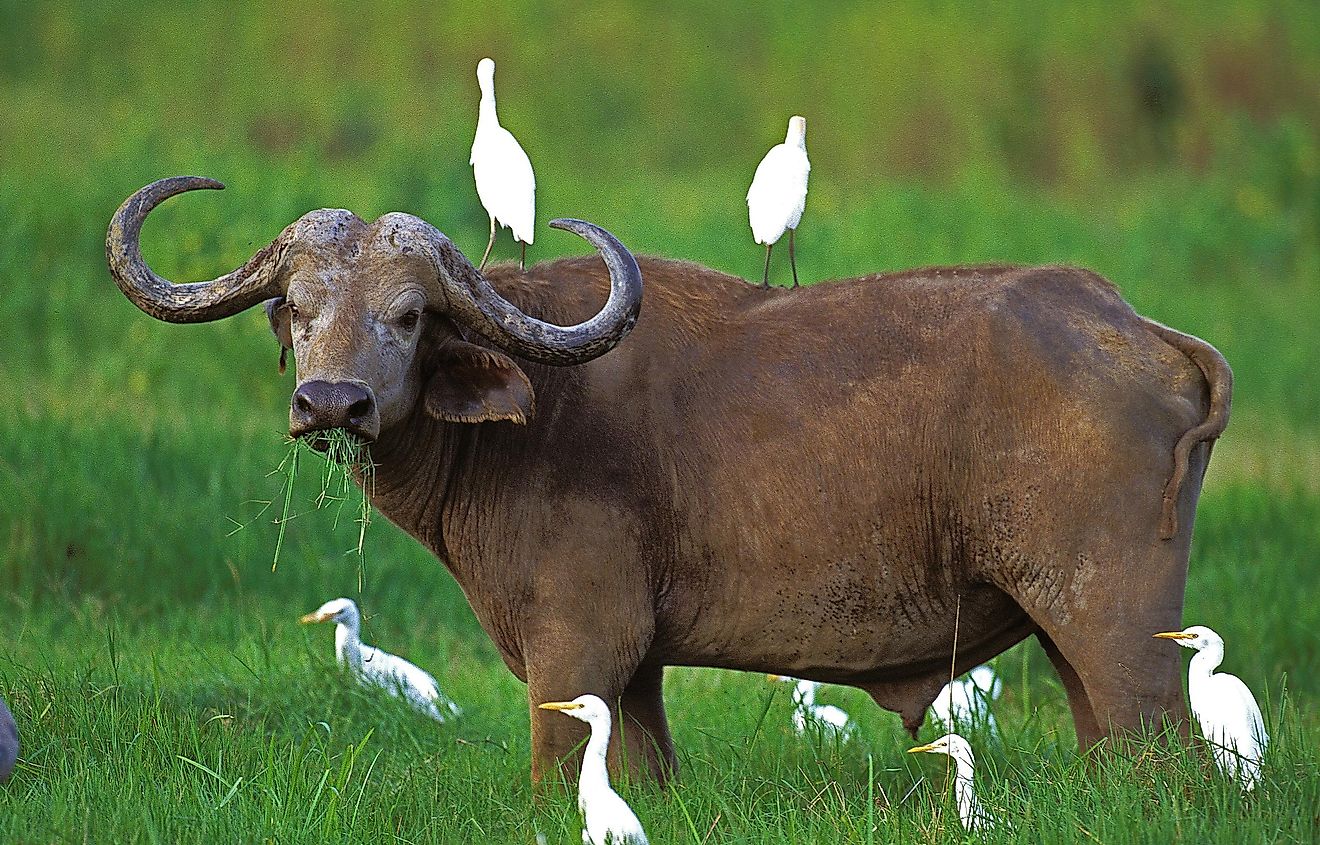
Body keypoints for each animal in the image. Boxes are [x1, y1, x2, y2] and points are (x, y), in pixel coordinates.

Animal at [108, 176, 1230, 786]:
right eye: (297, 308)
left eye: (411, 314)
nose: (333, 402)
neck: (532, 414)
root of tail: (1132, 323)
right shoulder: (636, 670)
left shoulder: (575, 651)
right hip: (1068, 644)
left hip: (1120, 638)